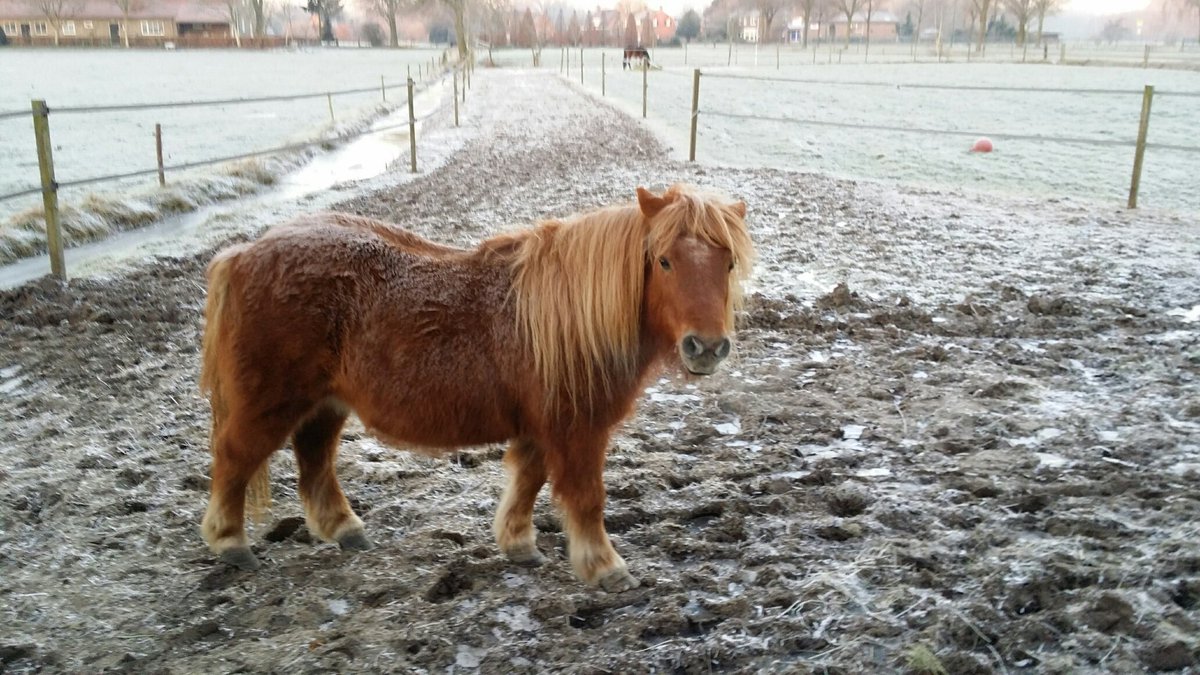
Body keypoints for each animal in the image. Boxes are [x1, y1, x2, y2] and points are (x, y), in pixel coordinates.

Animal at [199, 184, 755, 592]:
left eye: (727, 264)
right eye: (663, 261)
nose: (706, 347)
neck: (569, 318)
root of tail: (244, 252)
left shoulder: (540, 428)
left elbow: (528, 481)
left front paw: (518, 544)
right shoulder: (576, 430)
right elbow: (586, 498)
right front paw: (605, 568)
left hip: (324, 405)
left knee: (314, 458)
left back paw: (344, 530)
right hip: (270, 404)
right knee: (235, 457)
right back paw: (230, 543)